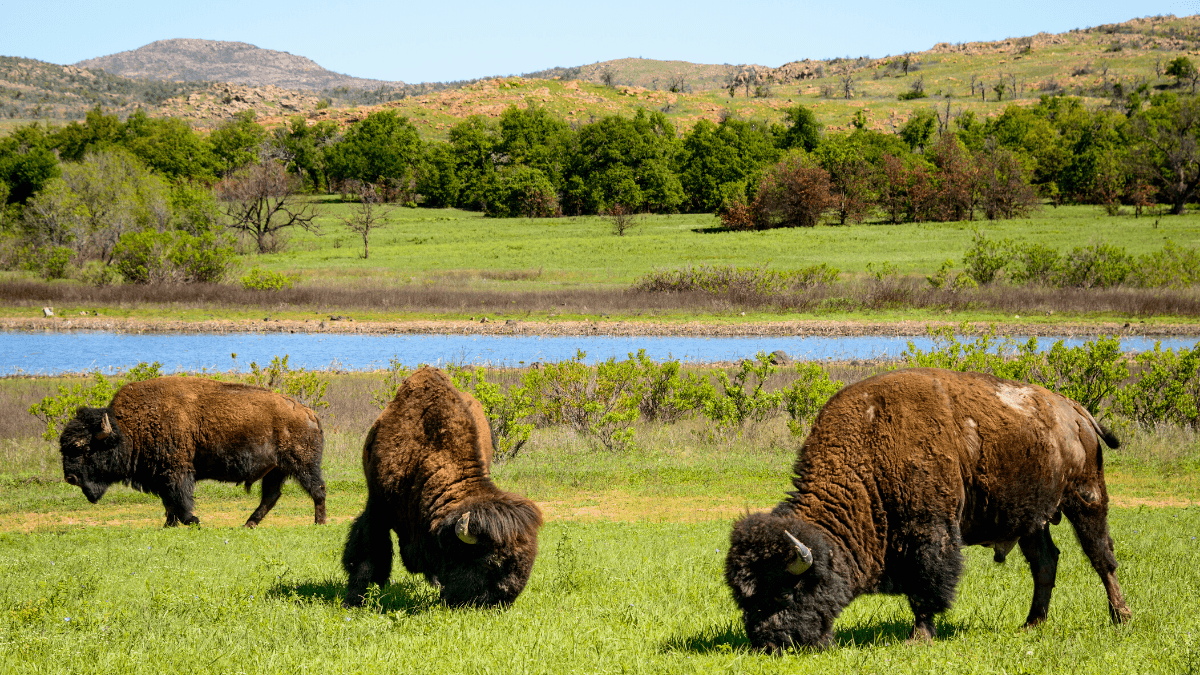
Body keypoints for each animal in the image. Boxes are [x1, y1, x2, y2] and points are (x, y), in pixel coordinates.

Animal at [58, 372, 326, 526]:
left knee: (317, 489)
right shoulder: (161, 475)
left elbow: (179, 498)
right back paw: (248, 524)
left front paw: (193, 521)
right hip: (276, 470)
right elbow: (169, 502)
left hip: (302, 465)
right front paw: (170, 524)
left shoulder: (175, 470)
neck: (128, 428)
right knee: (271, 496)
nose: (70, 477)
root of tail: (308, 413)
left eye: (84, 449)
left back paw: (319, 522)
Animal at [340, 365, 542, 607]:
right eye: (489, 562)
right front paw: (354, 599)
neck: (423, 455)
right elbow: (367, 553)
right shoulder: (378, 506)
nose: (503, 600)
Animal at [724, 365, 1128, 648]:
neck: (870, 450)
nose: (768, 643)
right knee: (1046, 562)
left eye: (785, 592)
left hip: (1086, 497)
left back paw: (1120, 617)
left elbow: (927, 586)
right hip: (1032, 520)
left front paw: (919, 637)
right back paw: (1031, 624)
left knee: (1101, 556)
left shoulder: (928, 533)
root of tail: (1074, 410)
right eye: (744, 599)